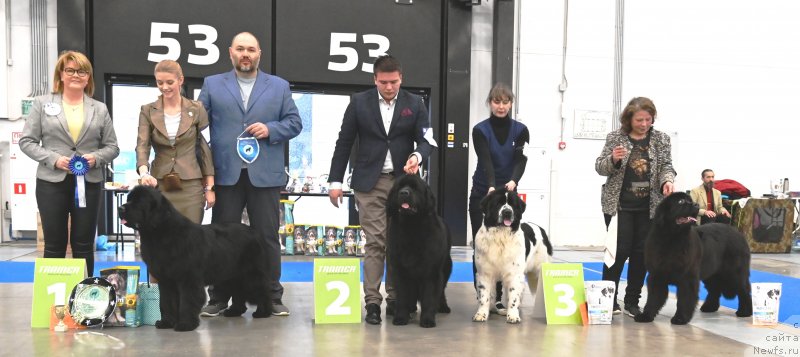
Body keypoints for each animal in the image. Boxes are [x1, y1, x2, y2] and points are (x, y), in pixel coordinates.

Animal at [115, 185, 272, 330]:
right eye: (129, 199)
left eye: (139, 201)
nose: (120, 208)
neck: (160, 232)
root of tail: (255, 232)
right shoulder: (166, 281)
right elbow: (166, 302)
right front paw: (167, 322)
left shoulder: (188, 279)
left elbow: (187, 301)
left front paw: (185, 324)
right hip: (233, 275)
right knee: (239, 291)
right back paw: (234, 311)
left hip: (251, 274)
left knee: (262, 290)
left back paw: (263, 312)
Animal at [386, 174, 450, 326]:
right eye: (399, 187)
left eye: (415, 188)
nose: (404, 193)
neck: (412, 227)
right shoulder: (400, 270)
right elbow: (402, 296)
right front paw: (401, 318)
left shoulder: (432, 272)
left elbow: (429, 297)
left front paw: (427, 320)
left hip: (446, 267)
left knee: (442, 290)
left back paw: (443, 307)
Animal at [472, 188, 552, 324]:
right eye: (498, 203)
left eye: (513, 205)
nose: (507, 212)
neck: (500, 237)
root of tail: (541, 229)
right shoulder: (484, 272)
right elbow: (484, 296)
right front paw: (481, 314)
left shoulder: (514, 273)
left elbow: (513, 295)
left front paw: (513, 315)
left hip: (540, 270)